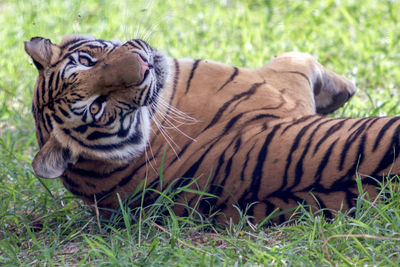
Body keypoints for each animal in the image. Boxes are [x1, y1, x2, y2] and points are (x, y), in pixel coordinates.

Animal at [24, 35, 400, 224]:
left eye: (86, 61)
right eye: (96, 107)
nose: (143, 66)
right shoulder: (284, 85)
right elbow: (298, 57)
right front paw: (344, 89)